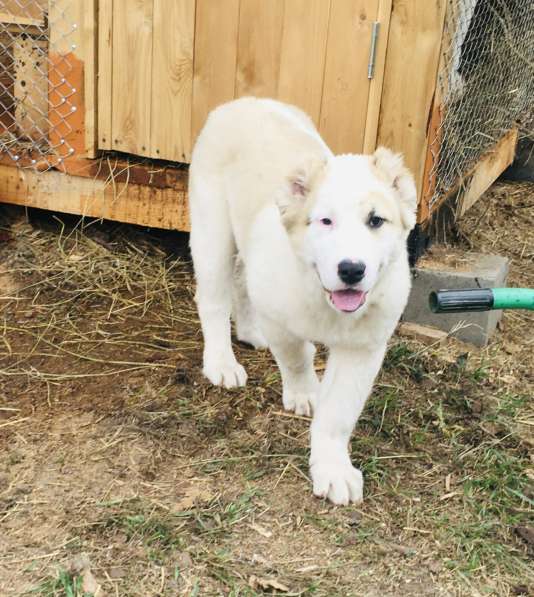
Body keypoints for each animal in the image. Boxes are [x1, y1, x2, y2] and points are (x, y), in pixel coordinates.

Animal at [189, 96, 418, 502]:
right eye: (325, 222)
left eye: (376, 221)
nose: (351, 270)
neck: (325, 300)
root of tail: (241, 102)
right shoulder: (281, 322)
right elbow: (296, 357)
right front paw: (305, 392)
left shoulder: (364, 348)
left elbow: (338, 414)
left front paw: (333, 469)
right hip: (211, 230)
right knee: (214, 299)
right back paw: (221, 363)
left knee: (242, 282)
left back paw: (249, 332)